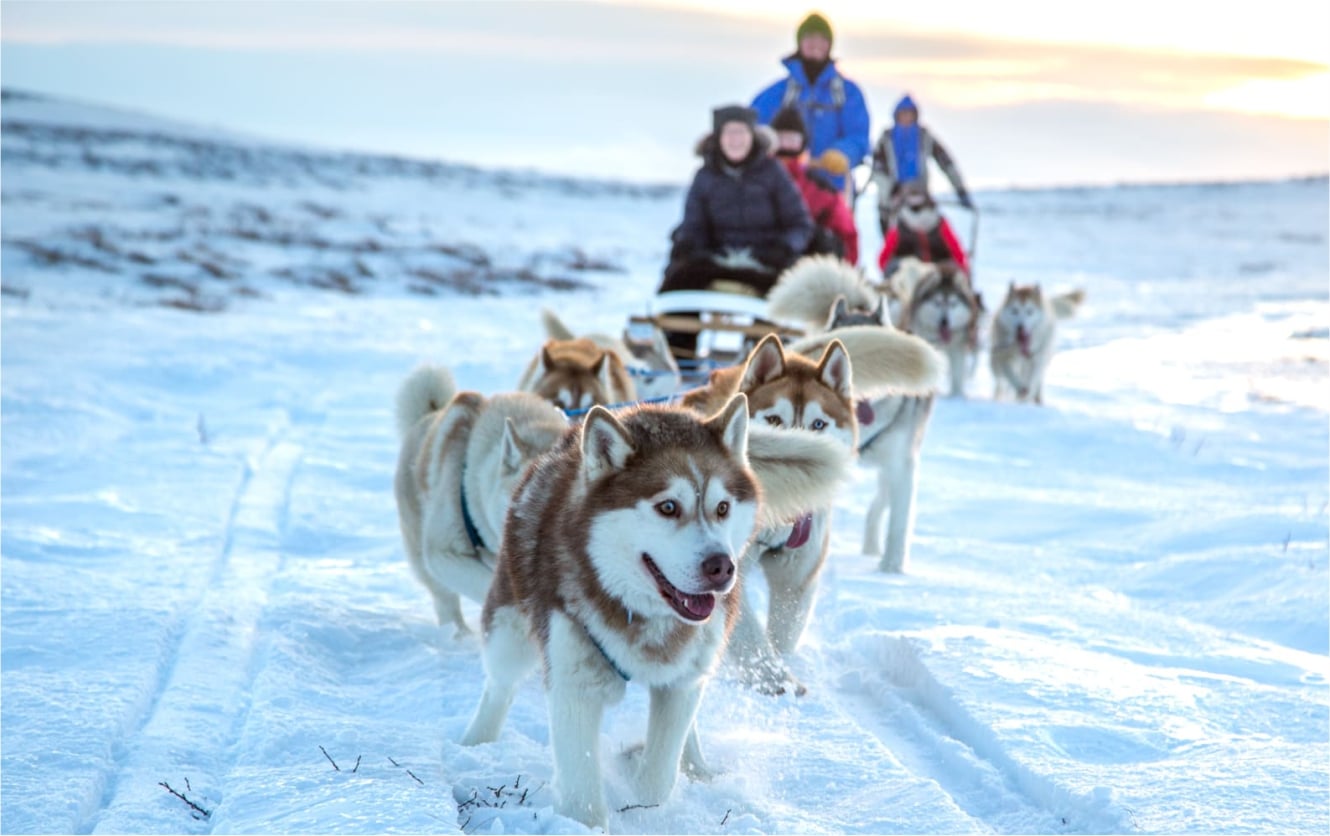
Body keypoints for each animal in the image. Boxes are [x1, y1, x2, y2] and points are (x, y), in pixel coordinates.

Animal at [462, 398, 845, 829]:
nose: (722, 567)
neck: (643, 616)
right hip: (509, 629)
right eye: (668, 507)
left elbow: (657, 779)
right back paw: (474, 744)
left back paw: (697, 767)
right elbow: (582, 796)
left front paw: (642, 774)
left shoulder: (681, 684)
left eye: (723, 508)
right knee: (500, 685)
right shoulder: (574, 683)